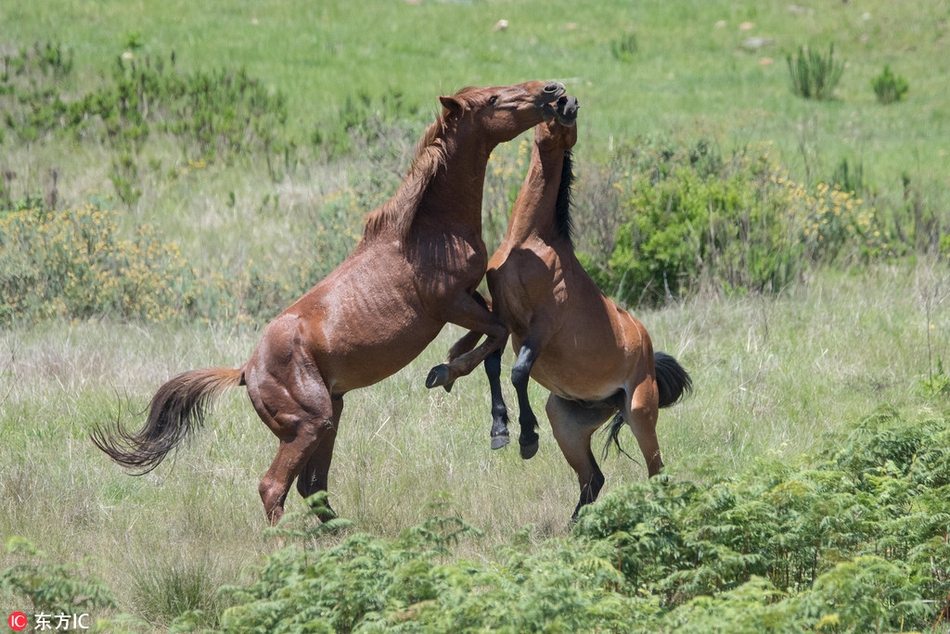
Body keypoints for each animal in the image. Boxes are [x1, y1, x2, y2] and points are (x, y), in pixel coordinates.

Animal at [91, 80, 564, 524]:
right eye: (493, 100)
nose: (551, 91)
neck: (429, 228)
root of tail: (246, 371)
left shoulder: (468, 297)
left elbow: (490, 332)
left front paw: (456, 375)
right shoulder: (448, 304)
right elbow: (496, 333)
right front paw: (454, 381)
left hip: (331, 415)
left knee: (312, 487)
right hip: (310, 423)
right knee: (274, 487)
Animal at [430, 95, 692, 520]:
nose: (565, 102)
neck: (531, 241)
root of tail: (646, 347)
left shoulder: (542, 325)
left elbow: (518, 372)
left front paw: (525, 437)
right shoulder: (504, 317)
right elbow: (492, 363)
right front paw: (499, 429)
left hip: (640, 412)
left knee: (657, 471)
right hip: (568, 420)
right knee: (593, 479)